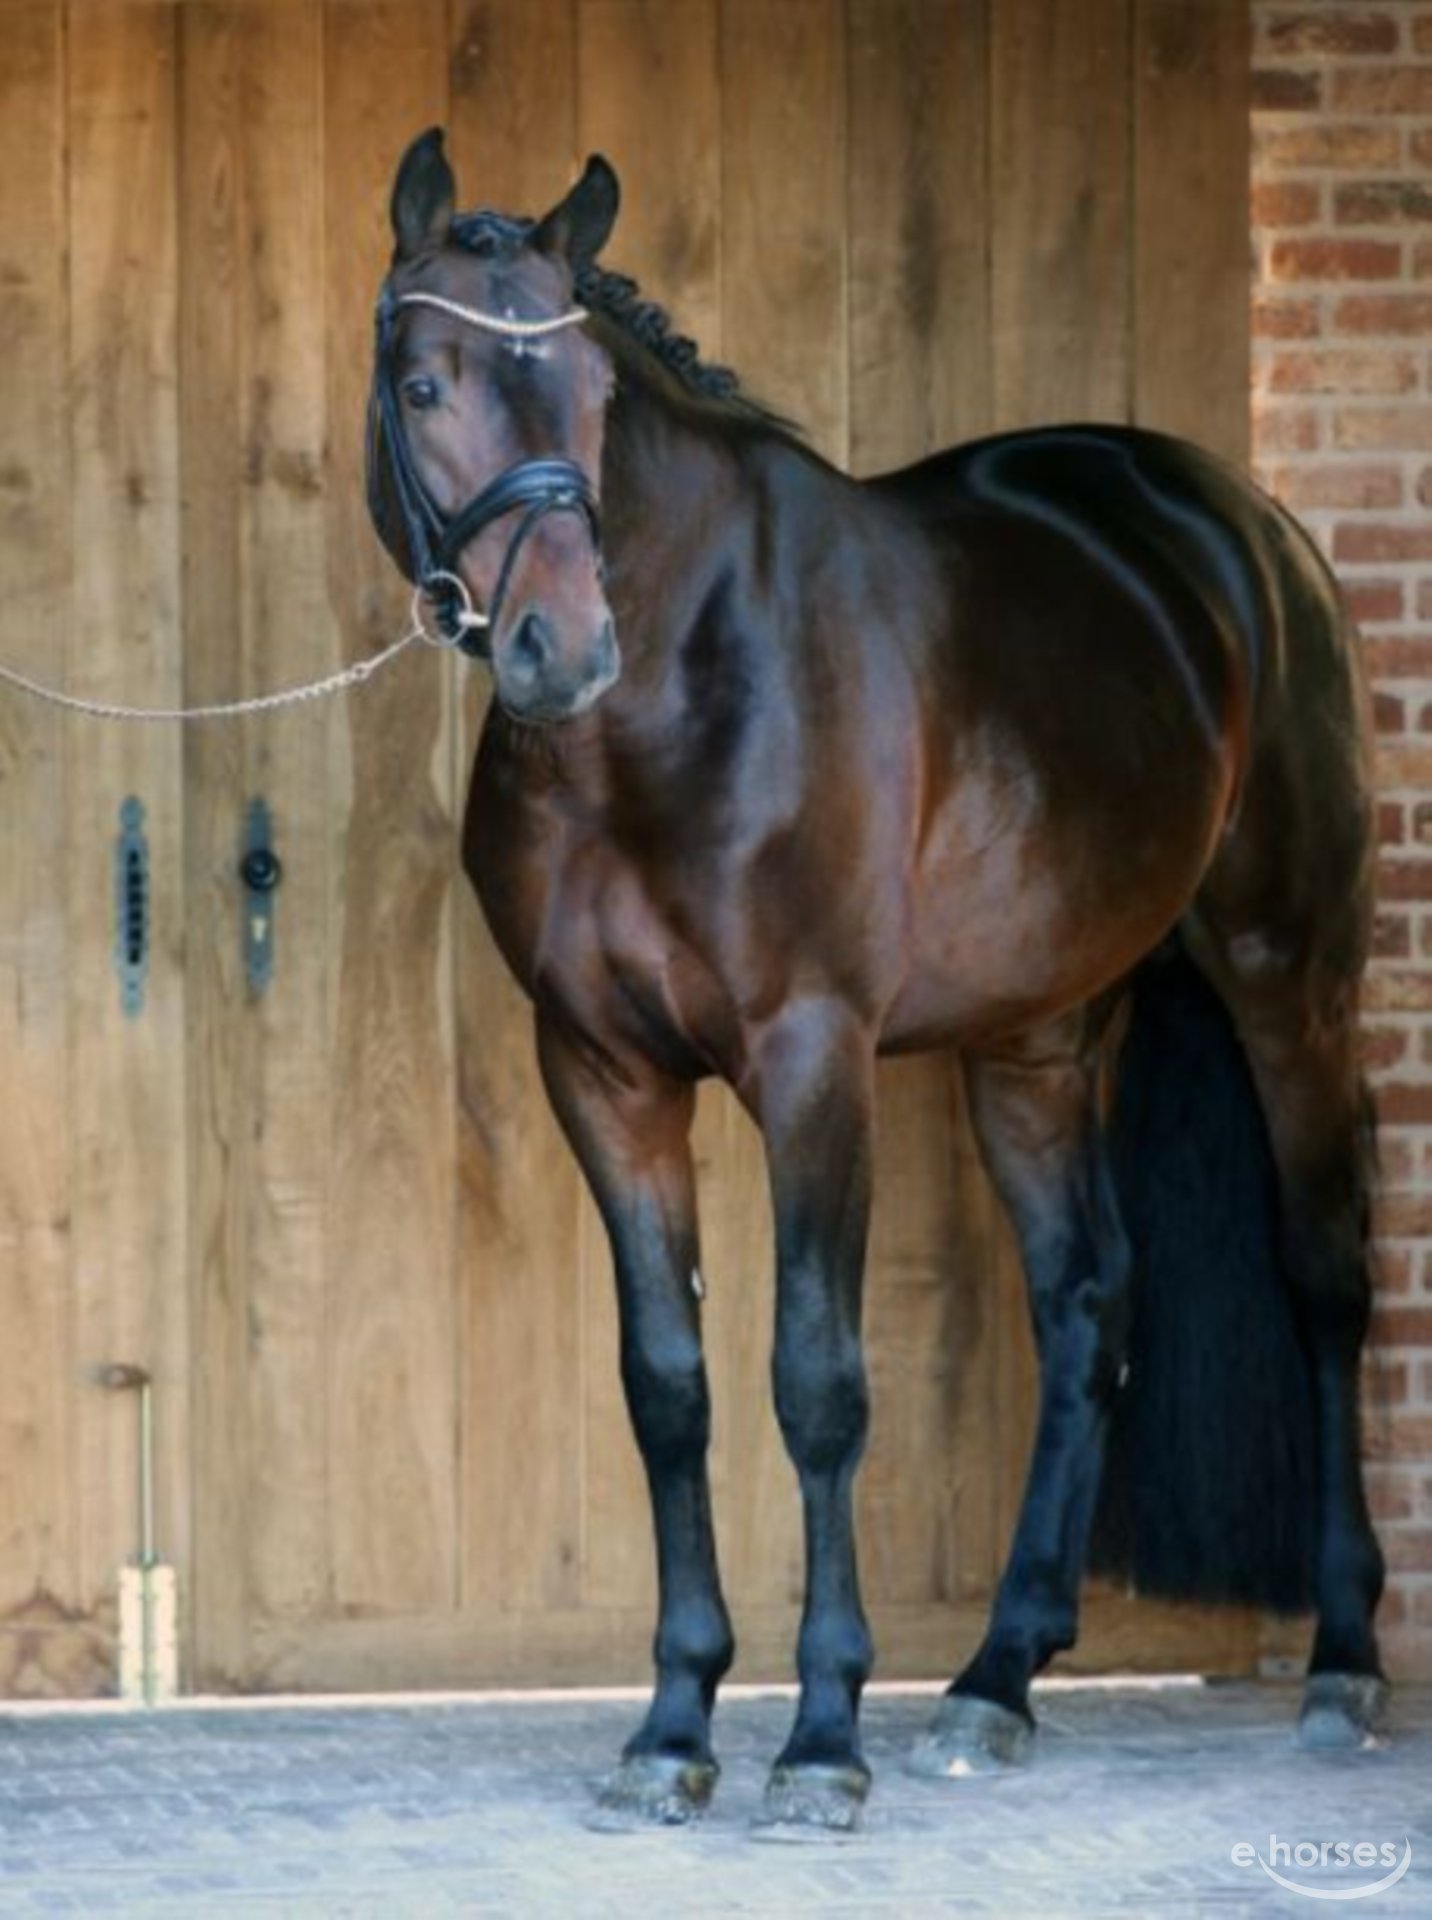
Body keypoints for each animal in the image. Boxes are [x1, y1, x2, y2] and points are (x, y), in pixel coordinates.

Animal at [368, 135, 1382, 1827]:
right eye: (427, 380)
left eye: (594, 388)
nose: (562, 650)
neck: (670, 703)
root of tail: (1244, 533)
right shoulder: (601, 1073)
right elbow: (669, 1387)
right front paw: (673, 1727)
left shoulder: (810, 1060)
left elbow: (817, 1383)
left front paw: (822, 1734)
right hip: (1037, 1040)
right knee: (1087, 1302)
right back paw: (996, 1678)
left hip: (1287, 976)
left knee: (1324, 1280)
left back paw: (1345, 1661)